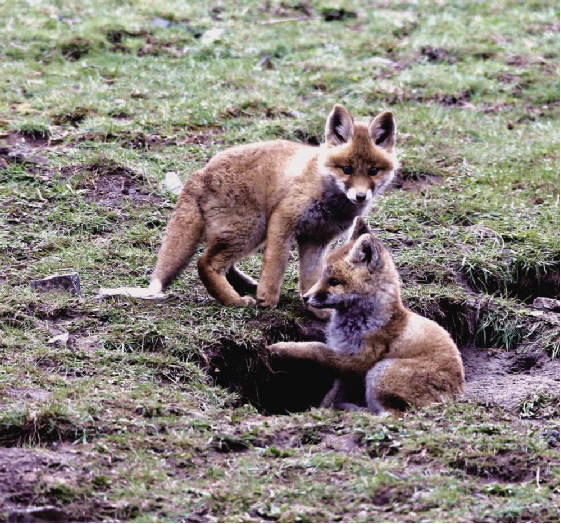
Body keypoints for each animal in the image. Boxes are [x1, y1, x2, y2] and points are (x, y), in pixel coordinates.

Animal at [106, 104, 399, 316]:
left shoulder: (316, 240)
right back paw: (236, 301)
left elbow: (310, 278)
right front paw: (268, 298)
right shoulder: (284, 219)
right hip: (252, 228)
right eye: (347, 169)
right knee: (205, 263)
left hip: (247, 233)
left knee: (222, 264)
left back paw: (244, 289)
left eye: (373, 171)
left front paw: (316, 309)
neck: (327, 194)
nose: (360, 196)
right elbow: (276, 264)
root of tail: (200, 173)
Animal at [268, 217, 466, 416]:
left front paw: (282, 348)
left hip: (380, 371)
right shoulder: (345, 371)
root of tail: (458, 396)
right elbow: (331, 395)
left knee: (391, 415)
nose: (306, 297)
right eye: (321, 277)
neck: (361, 320)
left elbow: (316, 348)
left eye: (333, 282)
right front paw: (324, 408)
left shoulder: (357, 361)